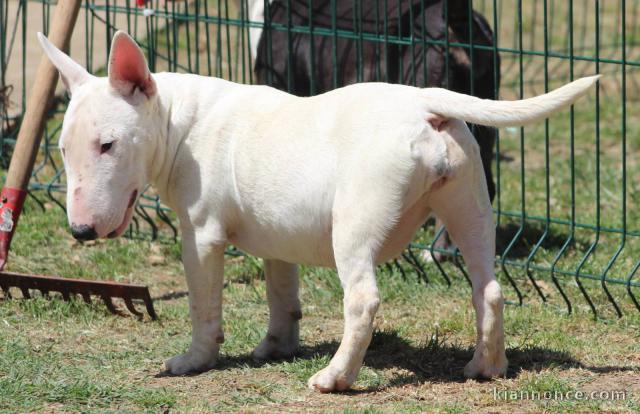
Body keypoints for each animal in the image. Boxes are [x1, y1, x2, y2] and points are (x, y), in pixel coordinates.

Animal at [37, 31, 596, 392]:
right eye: (63, 149)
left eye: (108, 145)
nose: (80, 231)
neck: (180, 120)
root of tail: (424, 103)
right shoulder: (275, 237)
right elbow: (281, 294)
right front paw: (275, 347)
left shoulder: (202, 235)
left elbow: (204, 307)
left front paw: (194, 360)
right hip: (469, 203)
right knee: (490, 287)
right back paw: (487, 367)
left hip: (355, 222)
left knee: (364, 299)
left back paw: (336, 378)